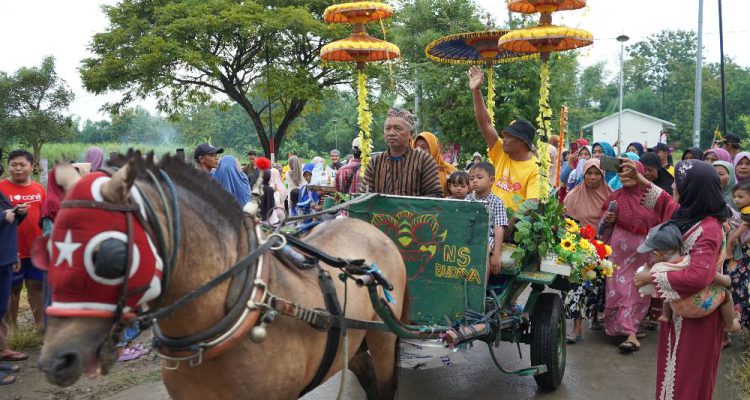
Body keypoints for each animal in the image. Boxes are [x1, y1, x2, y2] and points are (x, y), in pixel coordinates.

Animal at [35, 152, 408, 399]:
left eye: (110, 257)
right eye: (48, 249)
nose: (55, 362)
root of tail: (368, 226)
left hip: (384, 336)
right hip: (354, 336)